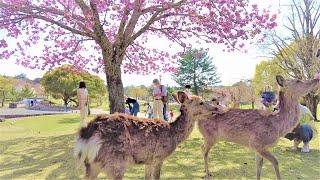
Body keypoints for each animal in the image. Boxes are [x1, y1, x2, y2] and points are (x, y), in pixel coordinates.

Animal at [74, 91, 221, 180]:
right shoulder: (158, 156)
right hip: (115, 162)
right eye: (201, 102)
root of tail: (86, 135)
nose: (216, 108)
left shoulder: (148, 159)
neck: (173, 134)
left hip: (92, 164)